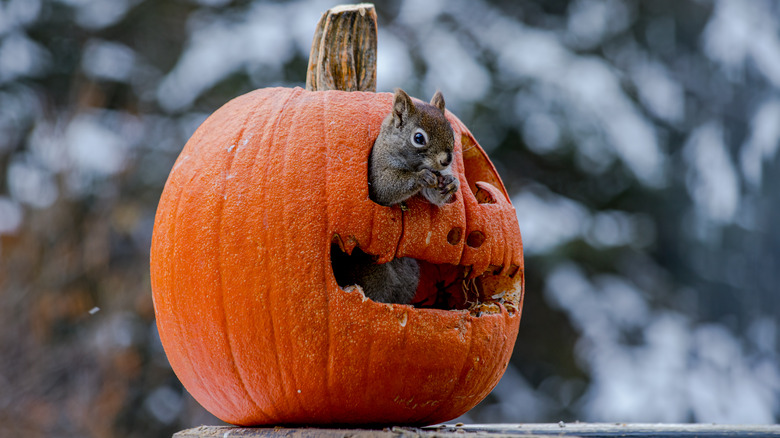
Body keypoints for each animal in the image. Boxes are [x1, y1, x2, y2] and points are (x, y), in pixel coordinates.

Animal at [330, 88, 454, 304]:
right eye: (419, 138)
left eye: (451, 131)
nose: (446, 160)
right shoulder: (377, 169)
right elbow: (385, 187)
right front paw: (420, 177)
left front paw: (447, 185)